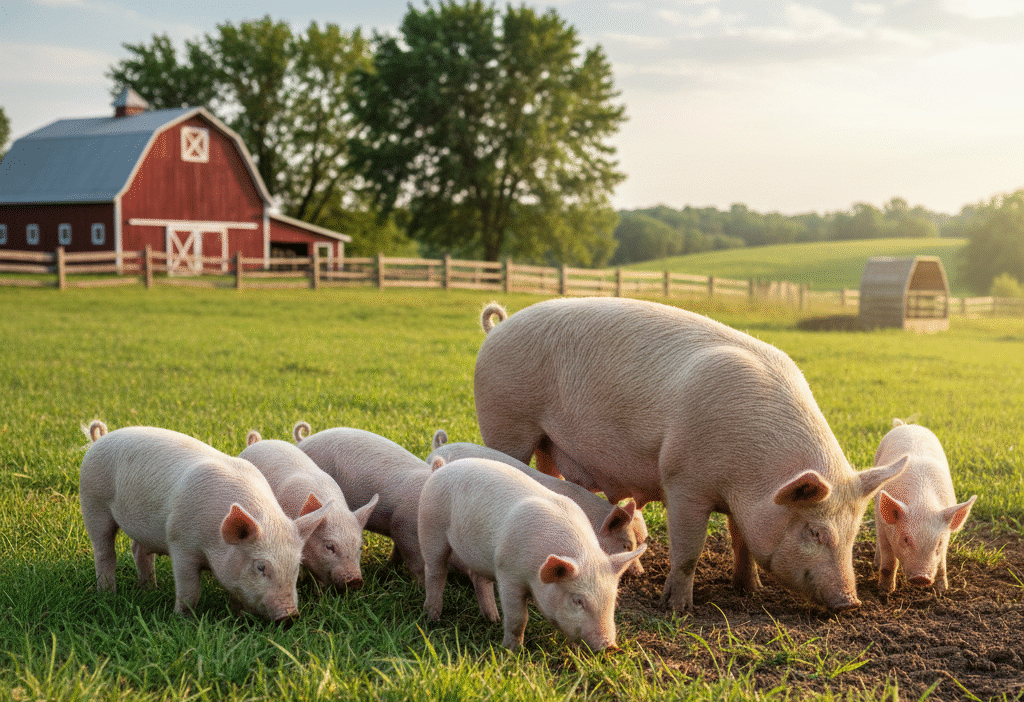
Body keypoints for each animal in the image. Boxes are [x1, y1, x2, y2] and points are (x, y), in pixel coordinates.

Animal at [79, 421, 330, 621]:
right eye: (260, 566)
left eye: (296, 566)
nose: (290, 616)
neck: (214, 540)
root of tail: (100, 439)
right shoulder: (180, 543)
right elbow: (190, 591)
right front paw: (182, 620)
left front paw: (239, 617)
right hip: (92, 501)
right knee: (104, 551)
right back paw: (107, 593)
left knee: (139, 550)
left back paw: (149, 589)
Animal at [417, 456, 646, 650]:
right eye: (577, 600)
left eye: (613, 599)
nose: (610, 647)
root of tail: (440, 468)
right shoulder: (508, 573)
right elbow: (519, 618)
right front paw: (512, 651)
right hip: (430, 526)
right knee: (435, 571)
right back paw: (433, 618)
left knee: (478, 578)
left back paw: (492, 619)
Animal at [473, 297, 908, 614]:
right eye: (815, 531)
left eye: (854, 533)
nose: (850, 603)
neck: (754, 475)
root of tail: (498, 328)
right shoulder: (684, 481)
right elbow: (688, 551)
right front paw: (677, 609)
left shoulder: (741, 502)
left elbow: (741, 541)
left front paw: (749, 590)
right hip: (505, 421)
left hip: (547, 440)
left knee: (551, 474)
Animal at [873, 419, 978, 593]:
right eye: (906, 539)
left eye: (939, 542)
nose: (921, 578)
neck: (923, 503)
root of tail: (906, 425)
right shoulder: (883, 526)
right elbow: (889, 561)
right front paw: (885, 591)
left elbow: (941, 565)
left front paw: (942, 591)